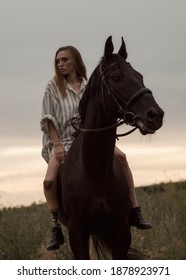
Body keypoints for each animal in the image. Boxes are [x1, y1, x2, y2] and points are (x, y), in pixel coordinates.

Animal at [58, 36, 164, 260]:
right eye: (116, 77)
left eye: (139, 76)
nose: (155, 115)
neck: (95, 171)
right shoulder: (77, 234)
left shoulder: (121, 231)